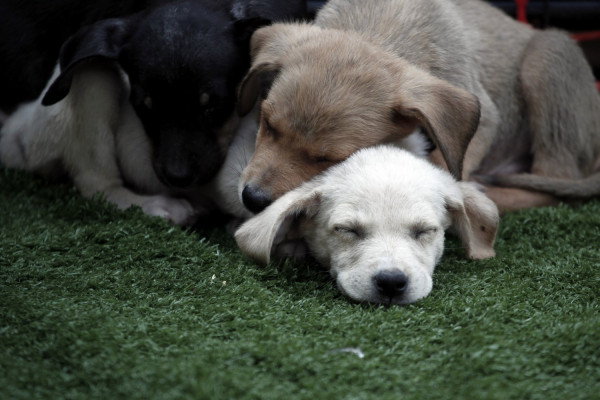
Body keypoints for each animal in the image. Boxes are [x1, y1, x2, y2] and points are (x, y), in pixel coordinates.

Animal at [236, 0, 600, 214]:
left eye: (328, 160)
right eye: (267, 123)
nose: (252, 200)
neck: (379, 27)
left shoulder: (483, 117)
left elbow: (446, 165)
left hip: (547, 54)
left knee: (555, 179)